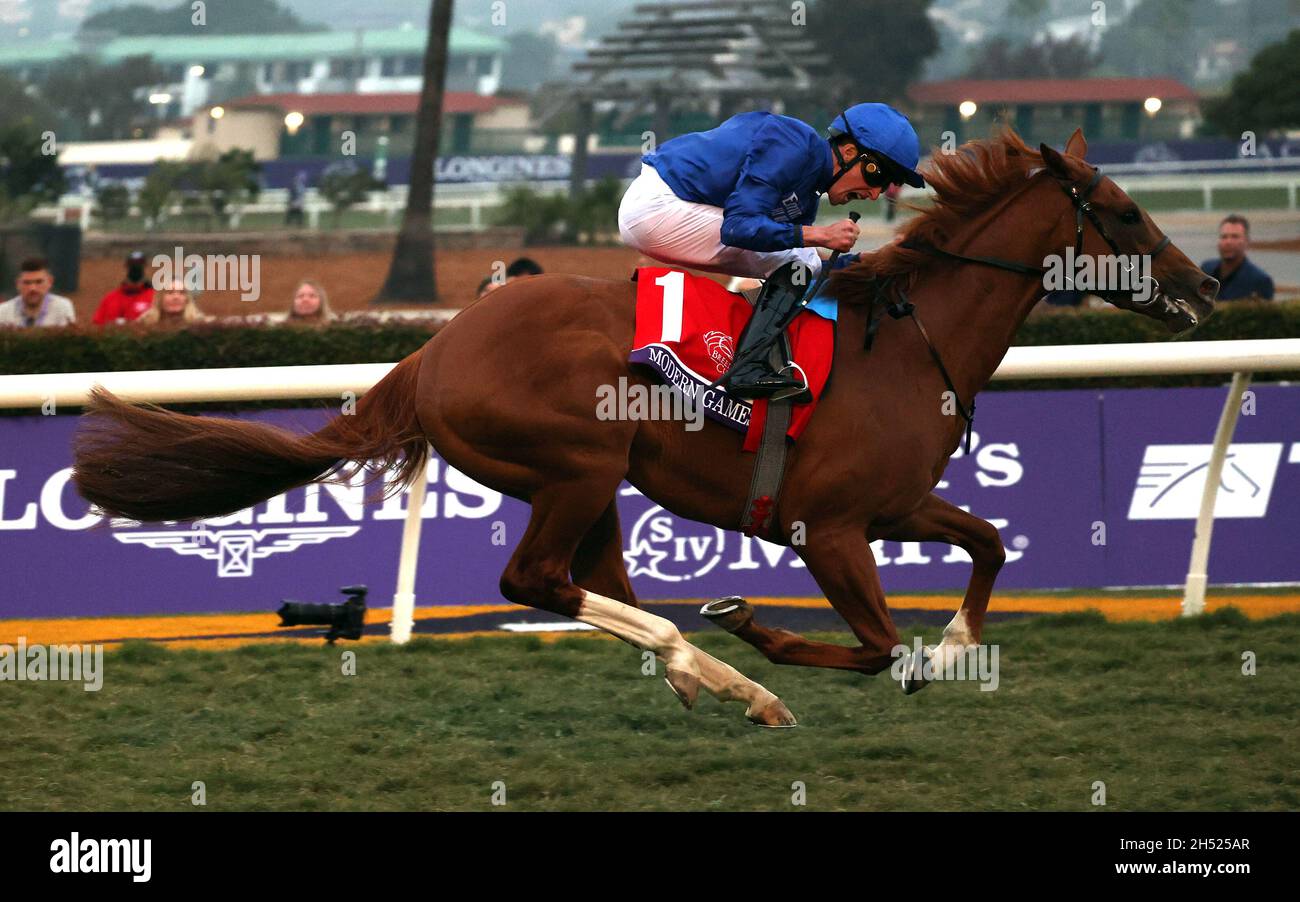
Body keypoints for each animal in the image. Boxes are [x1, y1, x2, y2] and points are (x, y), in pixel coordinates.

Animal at [73, 130, 1216, 727]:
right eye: (1121, 212)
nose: (1205, 284)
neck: (909, 340)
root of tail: (433, 351)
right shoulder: (831, 526)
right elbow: (879, 645)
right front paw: (772, 632)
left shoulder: (895, 503)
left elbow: (987, 543)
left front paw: (962, 639)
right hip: (577, 463)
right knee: (535, 582)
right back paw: (716, 663)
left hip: (591, 484)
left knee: (593, 585)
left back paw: (705, 671)